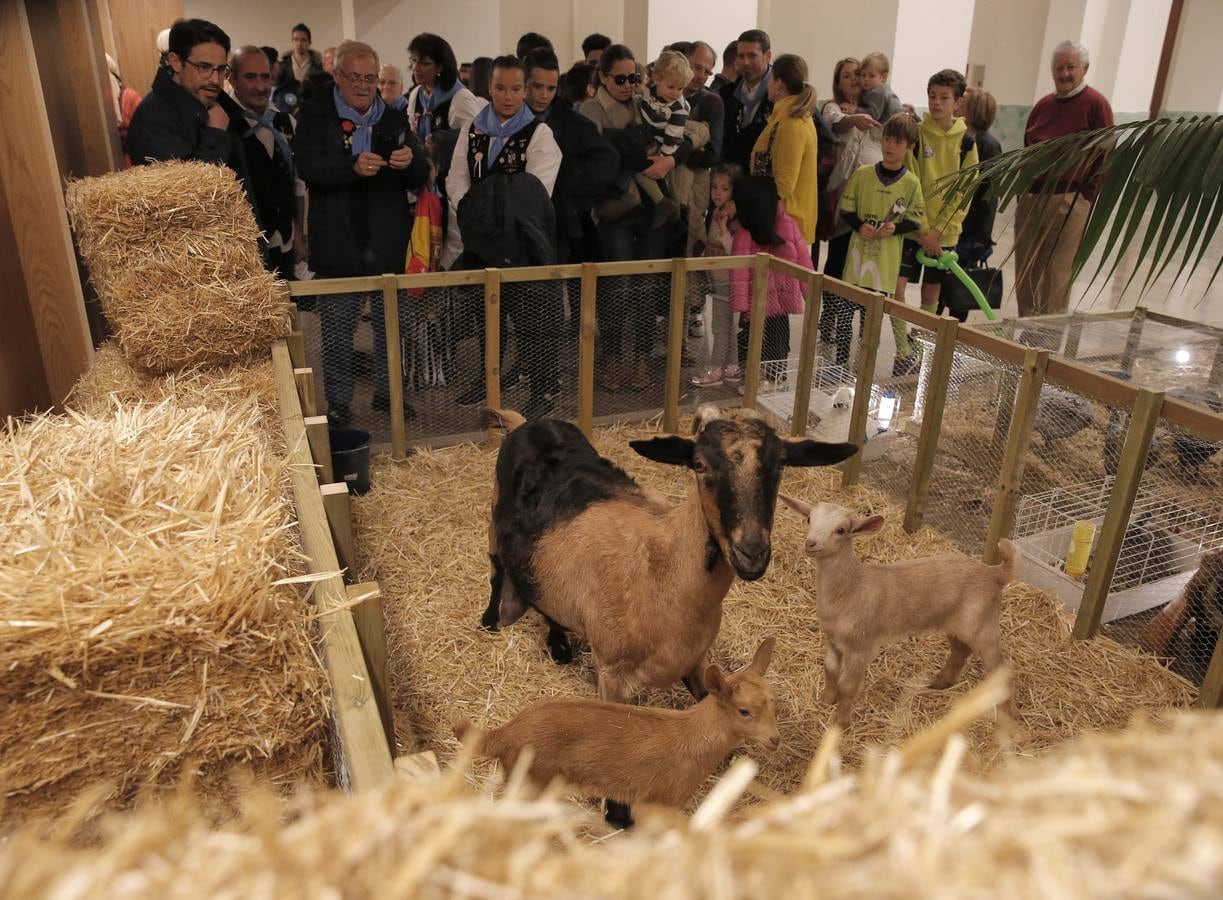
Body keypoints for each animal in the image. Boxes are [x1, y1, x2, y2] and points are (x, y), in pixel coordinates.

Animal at [454, 635, 777, 826]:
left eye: (771, 699)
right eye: (743, 711)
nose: (774, 740)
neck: (691, 736)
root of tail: (506, 733)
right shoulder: (656, 803)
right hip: (532, 784)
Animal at [777, 496, 1017, 728]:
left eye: (841, 530)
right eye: (809, 519)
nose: (810, 543)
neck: (852, 587)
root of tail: (994, 573)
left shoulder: (860, 646)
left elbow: (847, 686)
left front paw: (840, 724)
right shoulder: (833, 640)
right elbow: (829, 669)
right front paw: (825, 702)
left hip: (984, 626)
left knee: (1000, 670)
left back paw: (1005, 722)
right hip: (958, 623)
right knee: (960, 651)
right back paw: (939, 683)